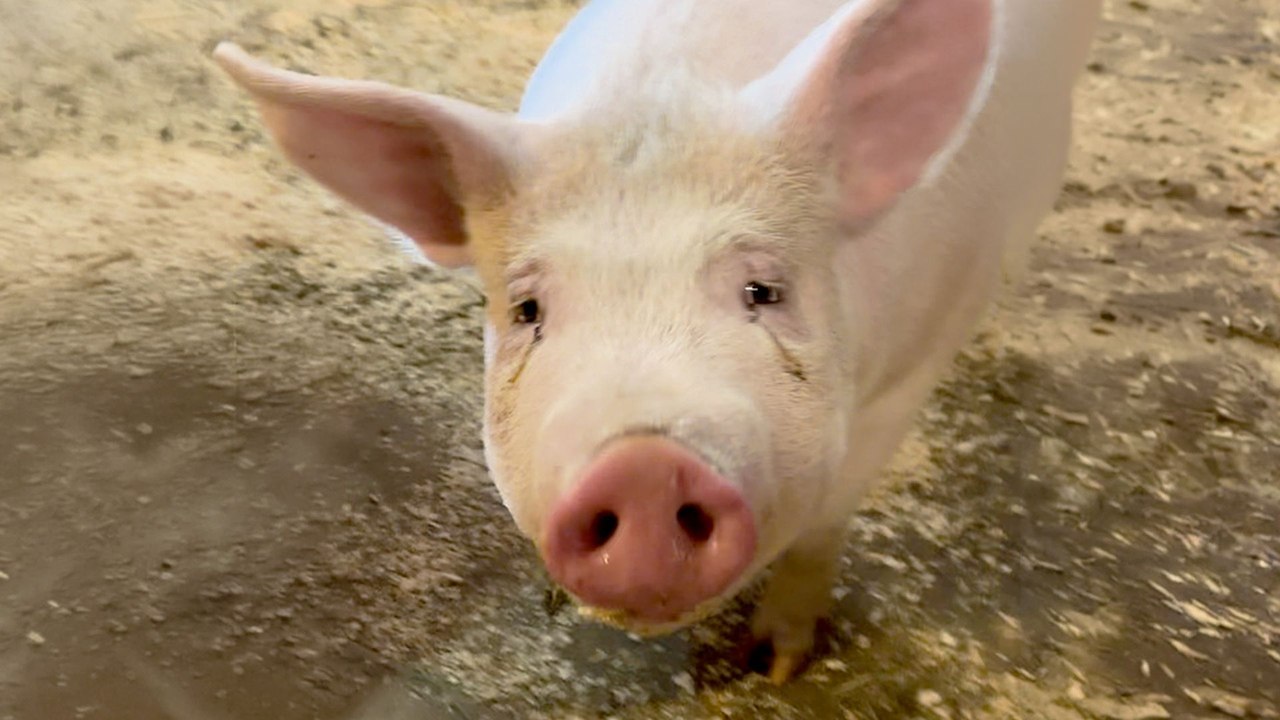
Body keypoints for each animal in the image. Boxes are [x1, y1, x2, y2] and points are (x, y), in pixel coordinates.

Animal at [214, 0, 1103, 683]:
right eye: (528, 309)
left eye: (763, 291)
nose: (643, 466)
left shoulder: (909, 374)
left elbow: (825, 524)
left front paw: (773, 668)